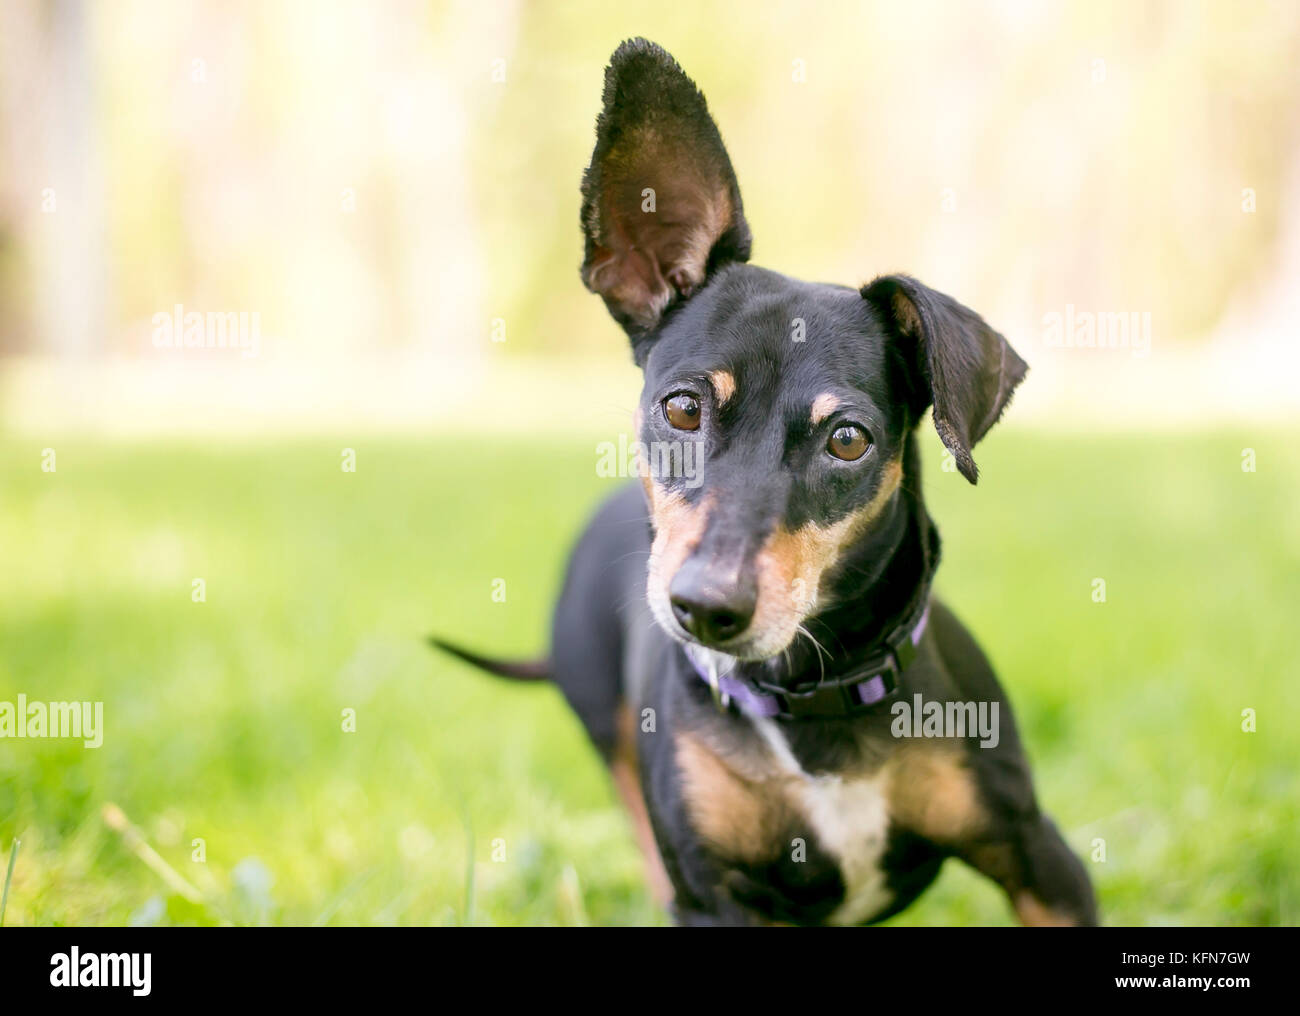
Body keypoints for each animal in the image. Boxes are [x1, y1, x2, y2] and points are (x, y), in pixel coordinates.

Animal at [436, 37, 1097, 930]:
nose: (707, 607)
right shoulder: (713, 897)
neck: (815, 699)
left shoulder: (1041, 858)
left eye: (847, 440)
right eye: (682, 409)